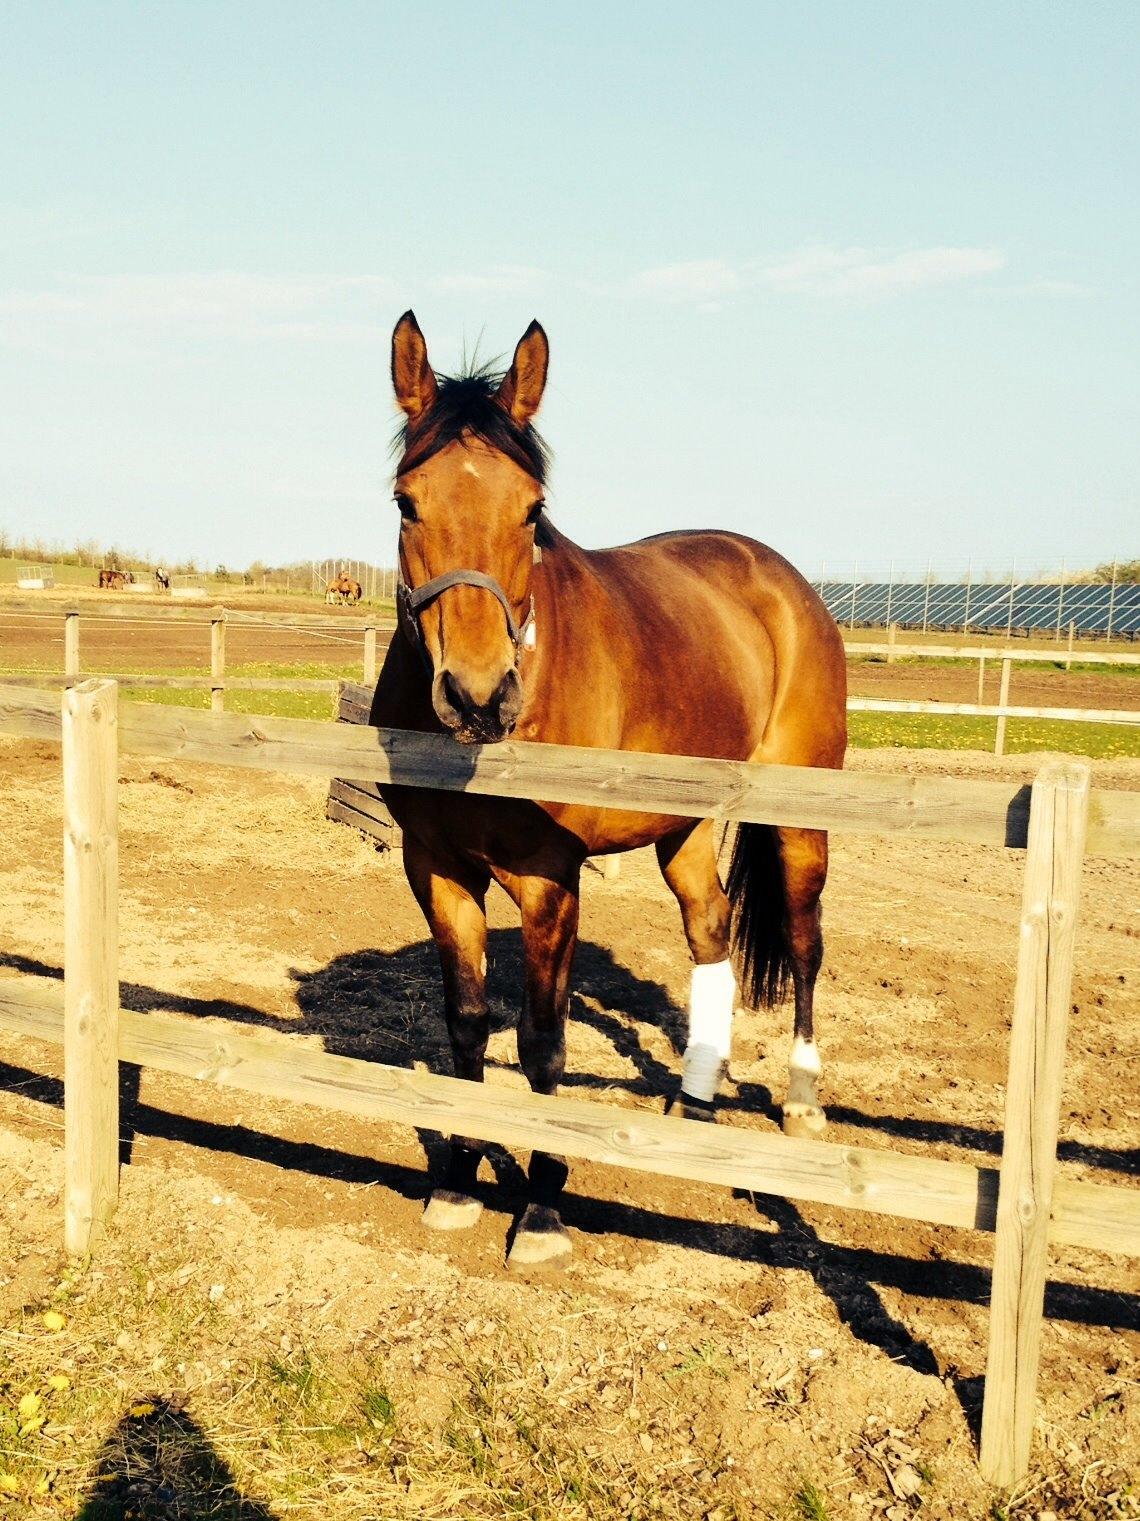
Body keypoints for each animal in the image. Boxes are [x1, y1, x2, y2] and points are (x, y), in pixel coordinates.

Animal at [375, 314, 851, 1277]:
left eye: (532, 509)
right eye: (407, 502)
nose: (478, 696)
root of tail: (782, 580)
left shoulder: (550, 879)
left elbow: (543, 1042)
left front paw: (541, 1207)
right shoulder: (436, 866)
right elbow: (467, 1022)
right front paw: (458, 1182)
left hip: (799, 822)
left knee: (805, 942)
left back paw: (801, 1095)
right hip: (684, 826)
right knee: (710, 929)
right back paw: (698, 1092)